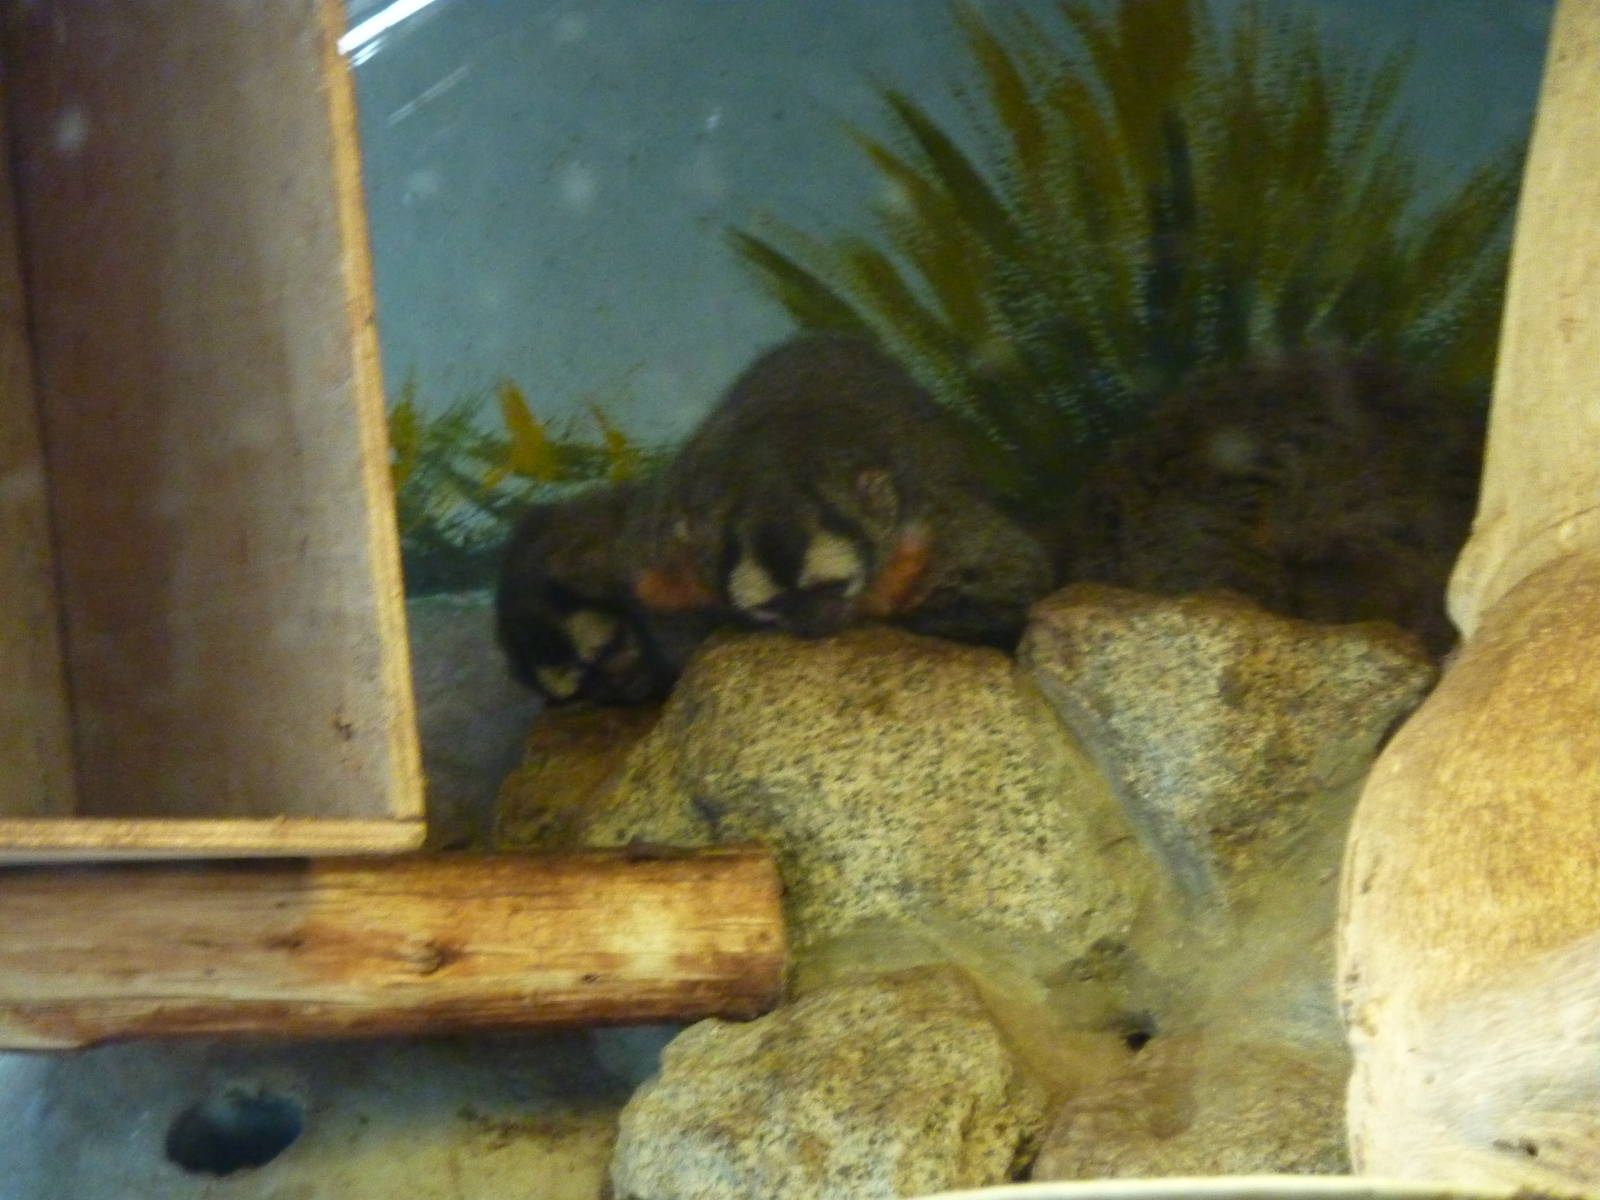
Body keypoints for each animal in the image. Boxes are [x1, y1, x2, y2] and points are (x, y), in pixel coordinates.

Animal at [627, 332, 1054, 650]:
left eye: (829, 588)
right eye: (775, 606)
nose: (810, 626)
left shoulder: (927, 519)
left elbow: (1017, 569)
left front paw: (943, 619)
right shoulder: (669, 540)